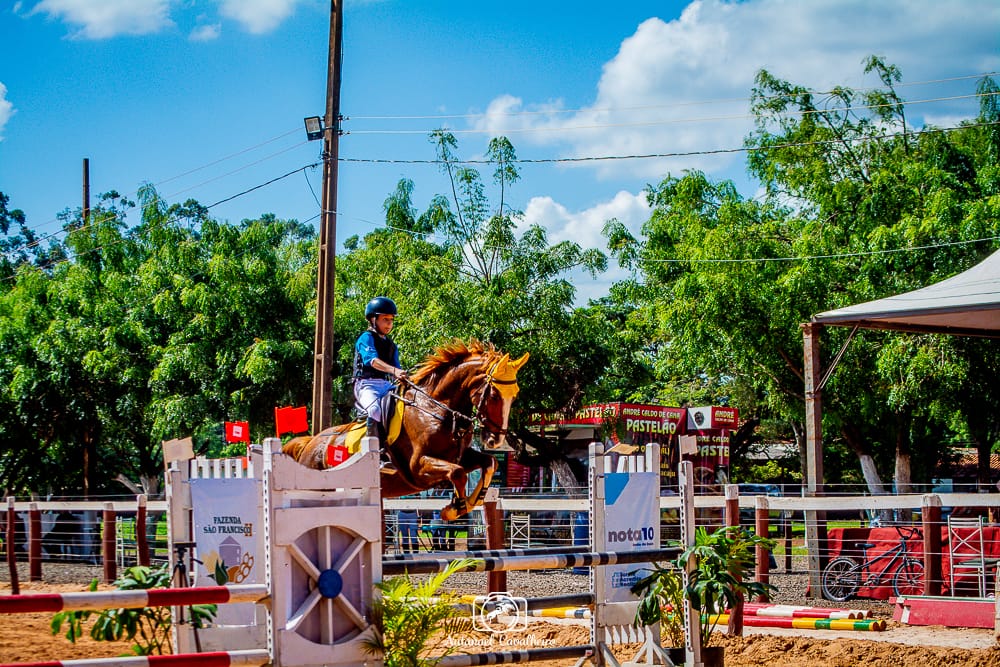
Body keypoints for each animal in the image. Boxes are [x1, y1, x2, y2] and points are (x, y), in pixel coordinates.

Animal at [284, 344, 532, 520]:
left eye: (515, 395)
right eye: (494, 395)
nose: (495, 439)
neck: (436, 409)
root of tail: (309, 444)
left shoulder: (460, 456)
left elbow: (490, 463)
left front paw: (474, 500)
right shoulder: (418, 466)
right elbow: (458, 473)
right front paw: (455, 509)